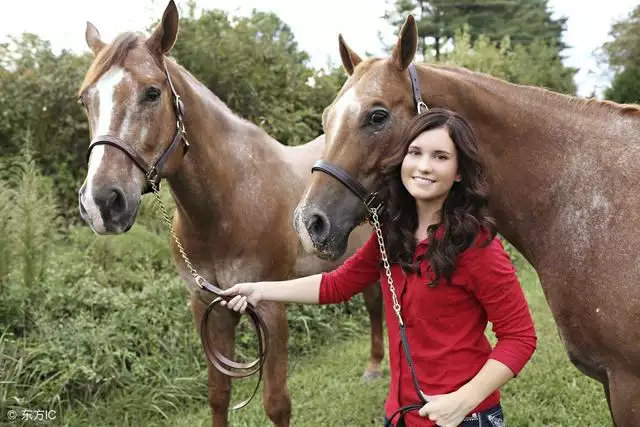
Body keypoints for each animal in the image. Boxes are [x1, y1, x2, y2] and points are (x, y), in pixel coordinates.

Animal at [75, 1, 384, 426]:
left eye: (152, 93)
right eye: (85, 99)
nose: (102, 203)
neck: (229, 203)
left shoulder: (269, 307)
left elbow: (276, 403)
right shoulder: (209, 307)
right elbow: (218, 394)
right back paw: (374, 367)